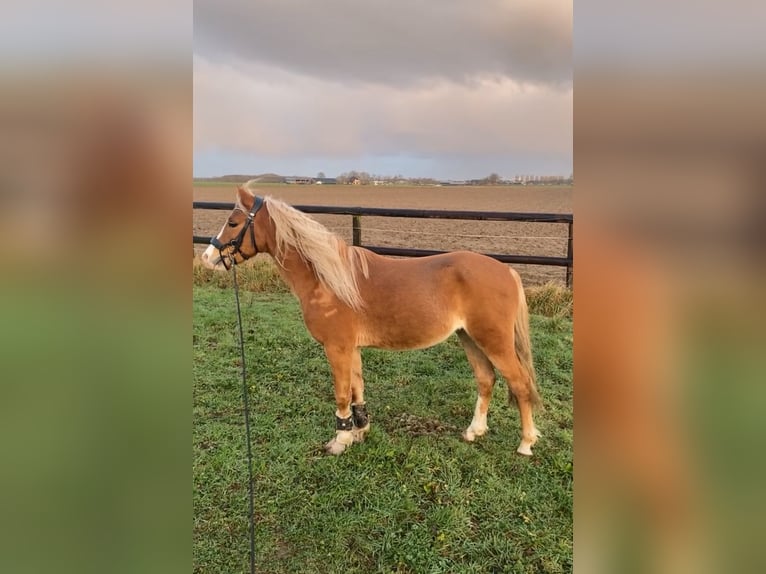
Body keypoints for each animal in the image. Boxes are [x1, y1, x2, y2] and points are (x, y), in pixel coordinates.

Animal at [201, 187, 544, 456]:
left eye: (233, 222)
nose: (207, 258)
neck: (327, 279)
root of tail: (508, 271)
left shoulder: (337, 348)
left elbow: (342, 393)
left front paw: (339, 441)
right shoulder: (351, 348)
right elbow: (356, 389)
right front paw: (359, 431)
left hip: (493, 341)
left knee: (520, 384)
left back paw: (526, 443)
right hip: (469, 337)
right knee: (486, 380)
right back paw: (474, 431)